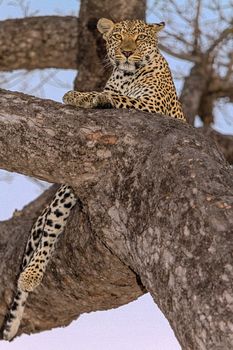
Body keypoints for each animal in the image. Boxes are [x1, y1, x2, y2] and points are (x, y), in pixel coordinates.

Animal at [2, 17, 186, 342]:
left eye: (140, 38)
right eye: (118, 36)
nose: (127, 52)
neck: (126, 74)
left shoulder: (153, 105)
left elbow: (117, 97)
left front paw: (86, 96)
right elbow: (113, 94)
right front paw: (82, 96)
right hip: (64, 195)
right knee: (50, 228)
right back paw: (31, 276)